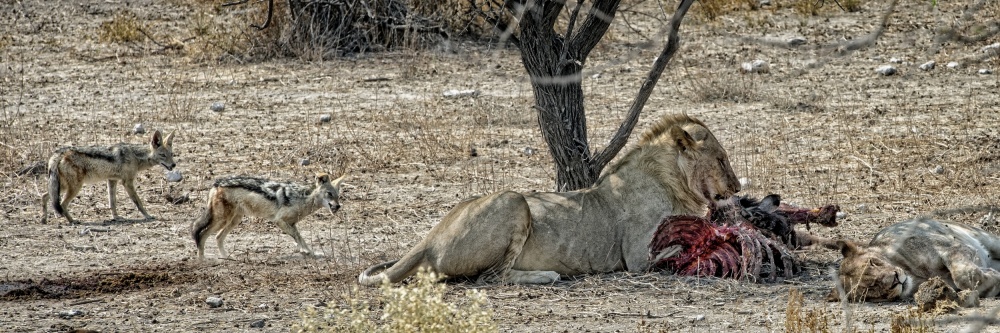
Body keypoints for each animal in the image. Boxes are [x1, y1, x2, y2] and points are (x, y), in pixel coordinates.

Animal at [360, 114, 744, 286]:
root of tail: (428, 239)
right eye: (721, 158)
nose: (738, 186)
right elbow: (682, 245)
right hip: (513, 201)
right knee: (491, 277)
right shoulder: (636, 257)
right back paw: (547, 275)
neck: (674, 182)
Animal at [828, 217, 1000, 304]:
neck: (915, 276)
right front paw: (993, 279)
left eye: (873, 262)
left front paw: (993, 276)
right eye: (869, 287)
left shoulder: (953, 247)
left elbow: (963, 275)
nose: (895, 280)